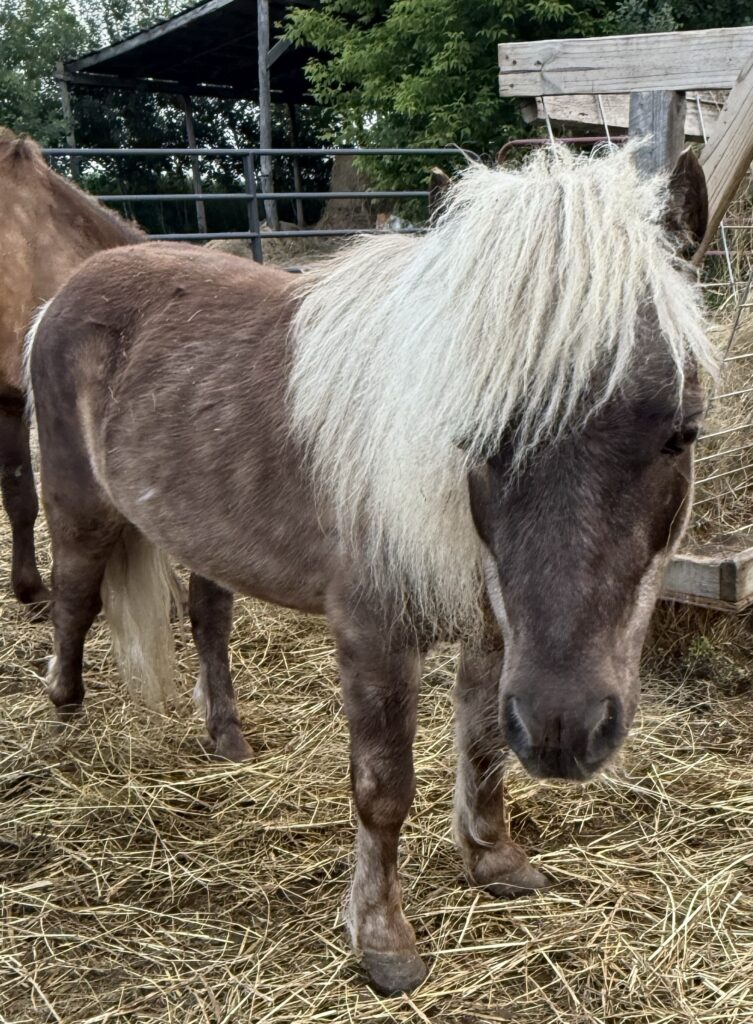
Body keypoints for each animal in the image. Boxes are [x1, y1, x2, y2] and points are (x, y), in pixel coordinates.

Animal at [27, 144, 713, 994]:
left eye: (682, 431)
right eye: (472, 433)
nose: (565, 732)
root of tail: (66, 292)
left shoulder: (493, 630)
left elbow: (483, 744)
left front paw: (493, 859)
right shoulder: (374, 635)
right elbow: (382, 790)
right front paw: (383, 939)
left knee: (207, 620)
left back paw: (226, 739)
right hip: (79, 510)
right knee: (73, 604)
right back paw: (64, 720)